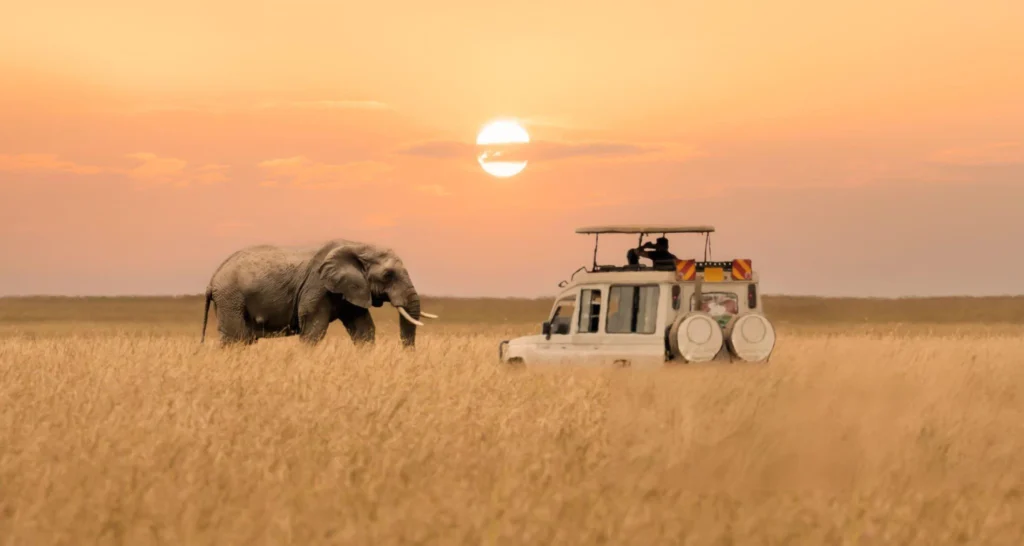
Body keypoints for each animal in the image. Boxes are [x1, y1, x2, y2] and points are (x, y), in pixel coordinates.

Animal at [199, 239, 438, 347]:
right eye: (388, 275)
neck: (356, 246)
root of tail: (212, 278)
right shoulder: (317, 288)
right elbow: (314, 331)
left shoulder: (351, 291)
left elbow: (364, 330)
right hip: (231, 297)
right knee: (235, 339)